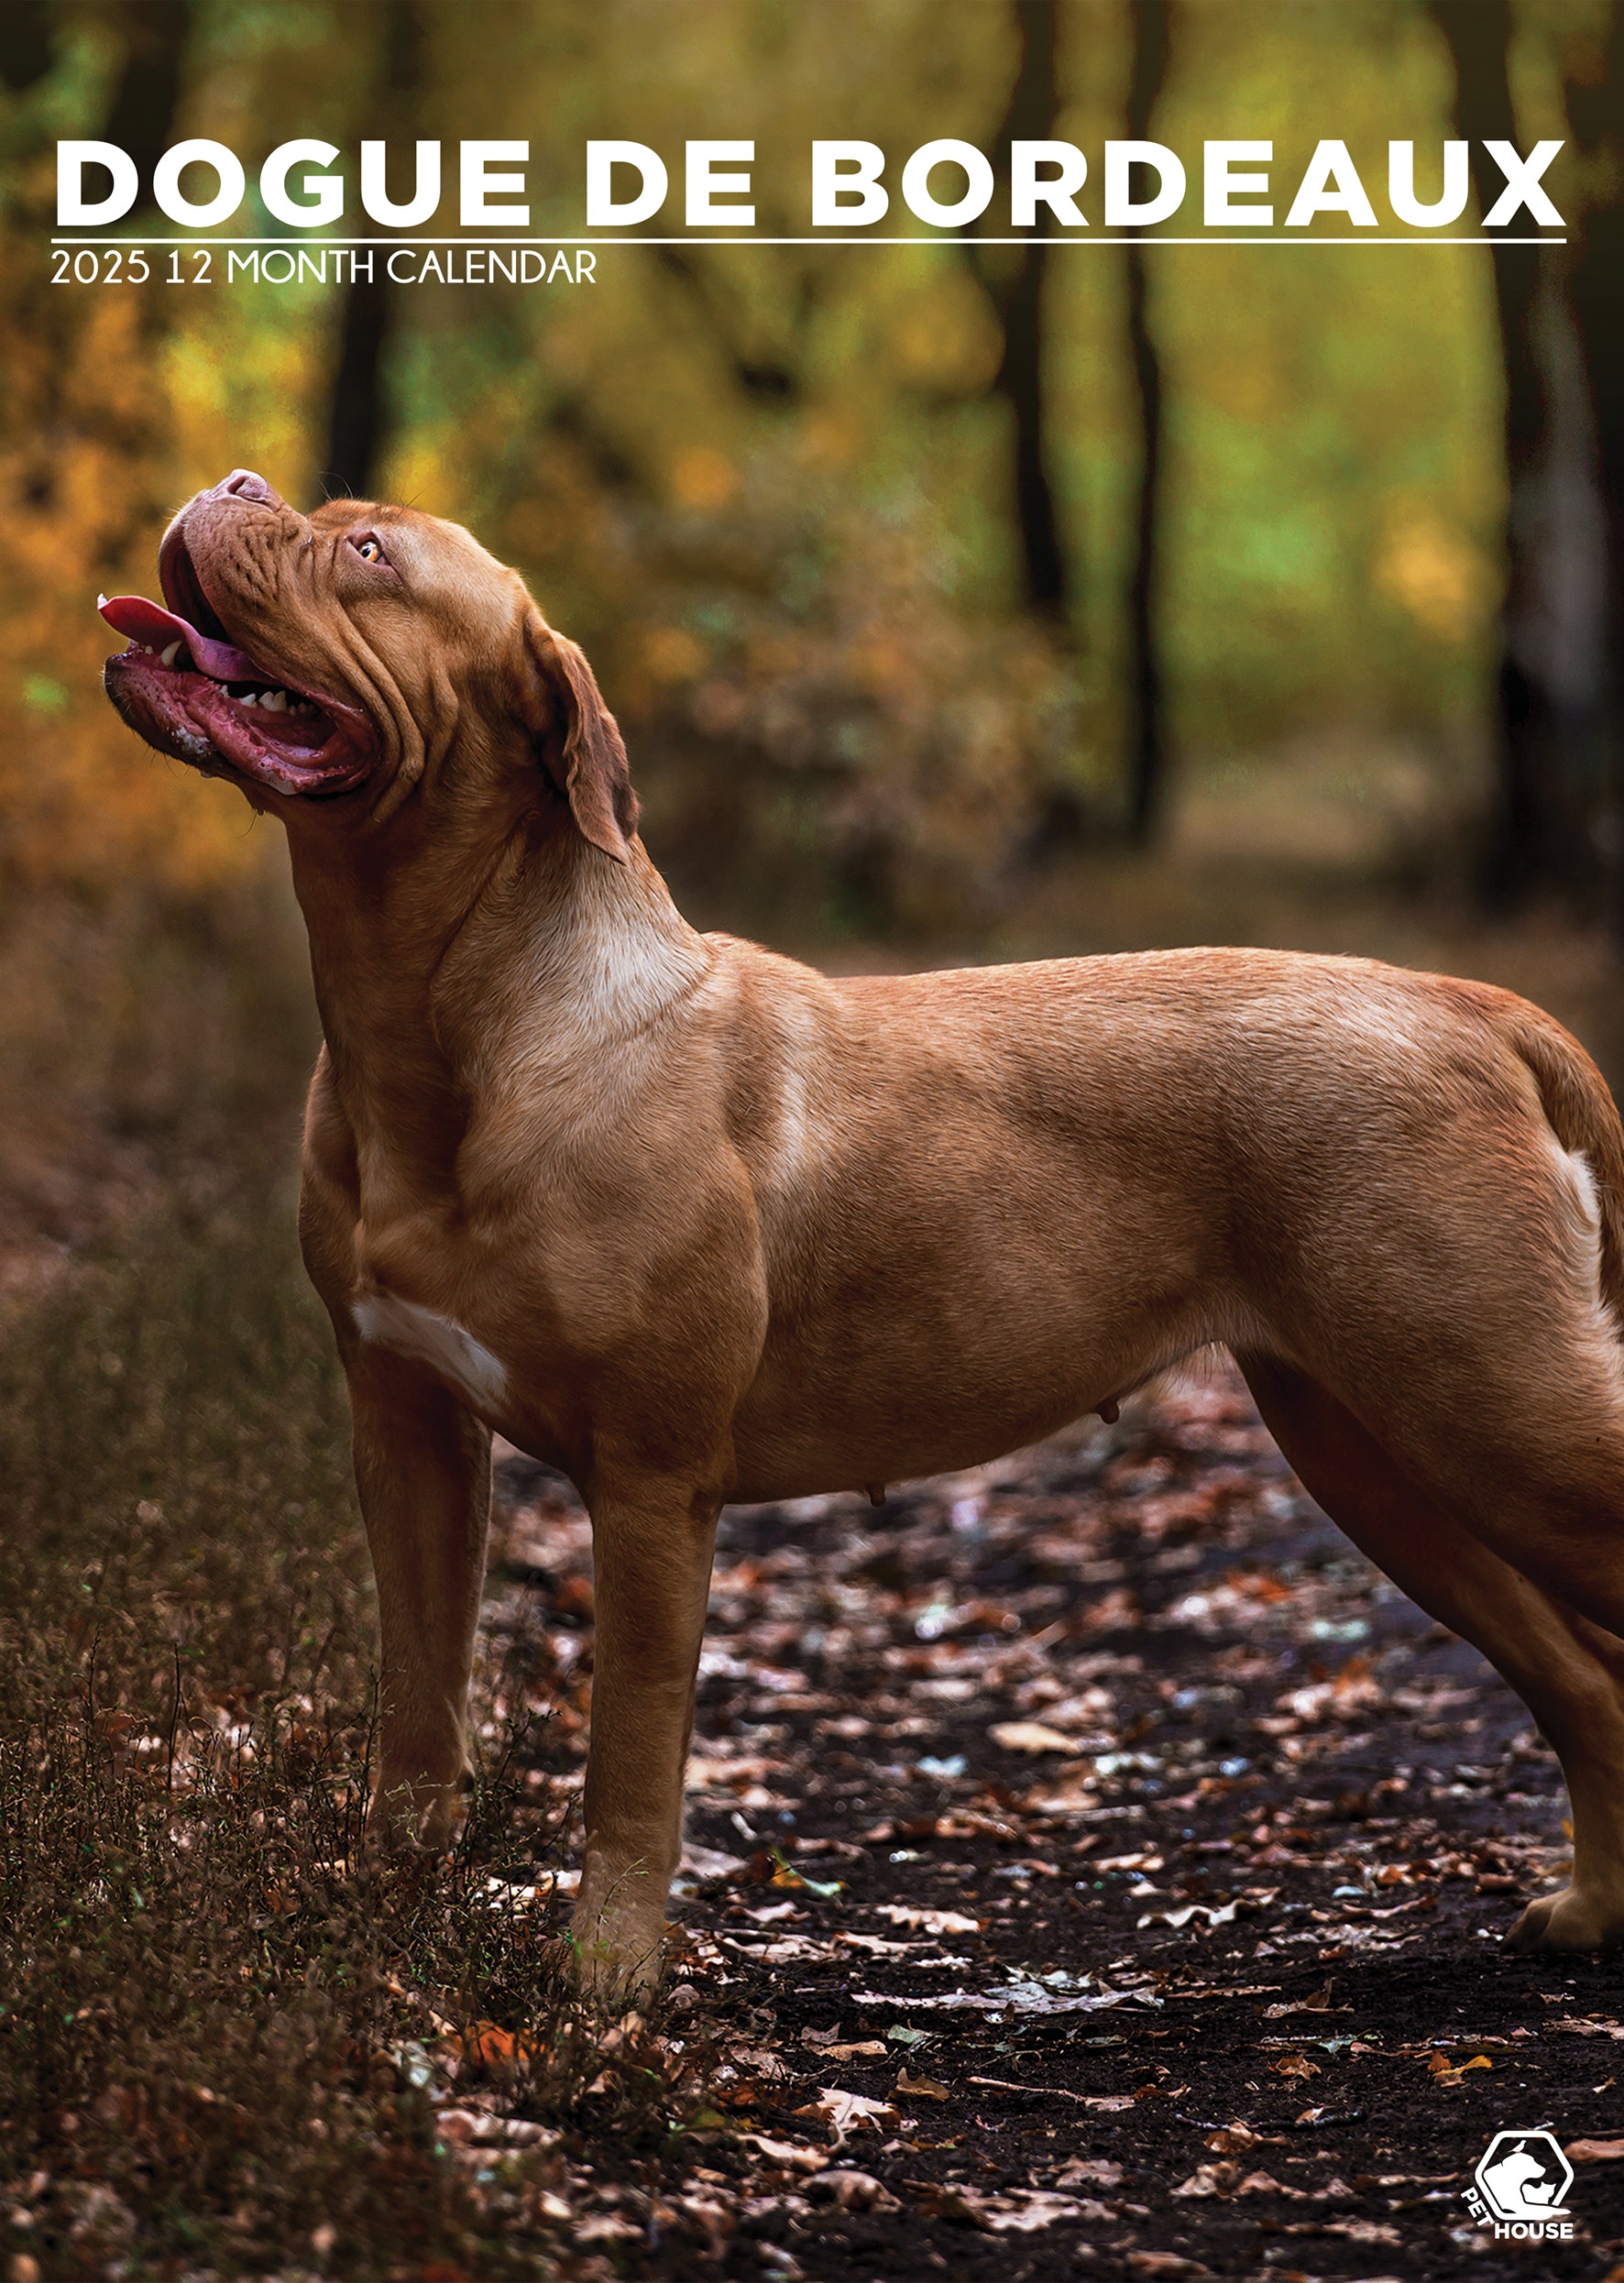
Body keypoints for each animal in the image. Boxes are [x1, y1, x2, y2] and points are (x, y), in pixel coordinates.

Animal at [98, 472, 1624, 1991]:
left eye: (366, 551)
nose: (236, 483)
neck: (451, 1029)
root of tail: (1474, 1004)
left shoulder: (651, 1480)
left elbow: (630, 1755)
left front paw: (605, 1975)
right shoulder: (407, 1423)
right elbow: (420, 1705)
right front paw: (380, 1925)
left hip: (1494, 1404)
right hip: (1374, 1445)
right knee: (1584, 1676)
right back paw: (1590, 1909)